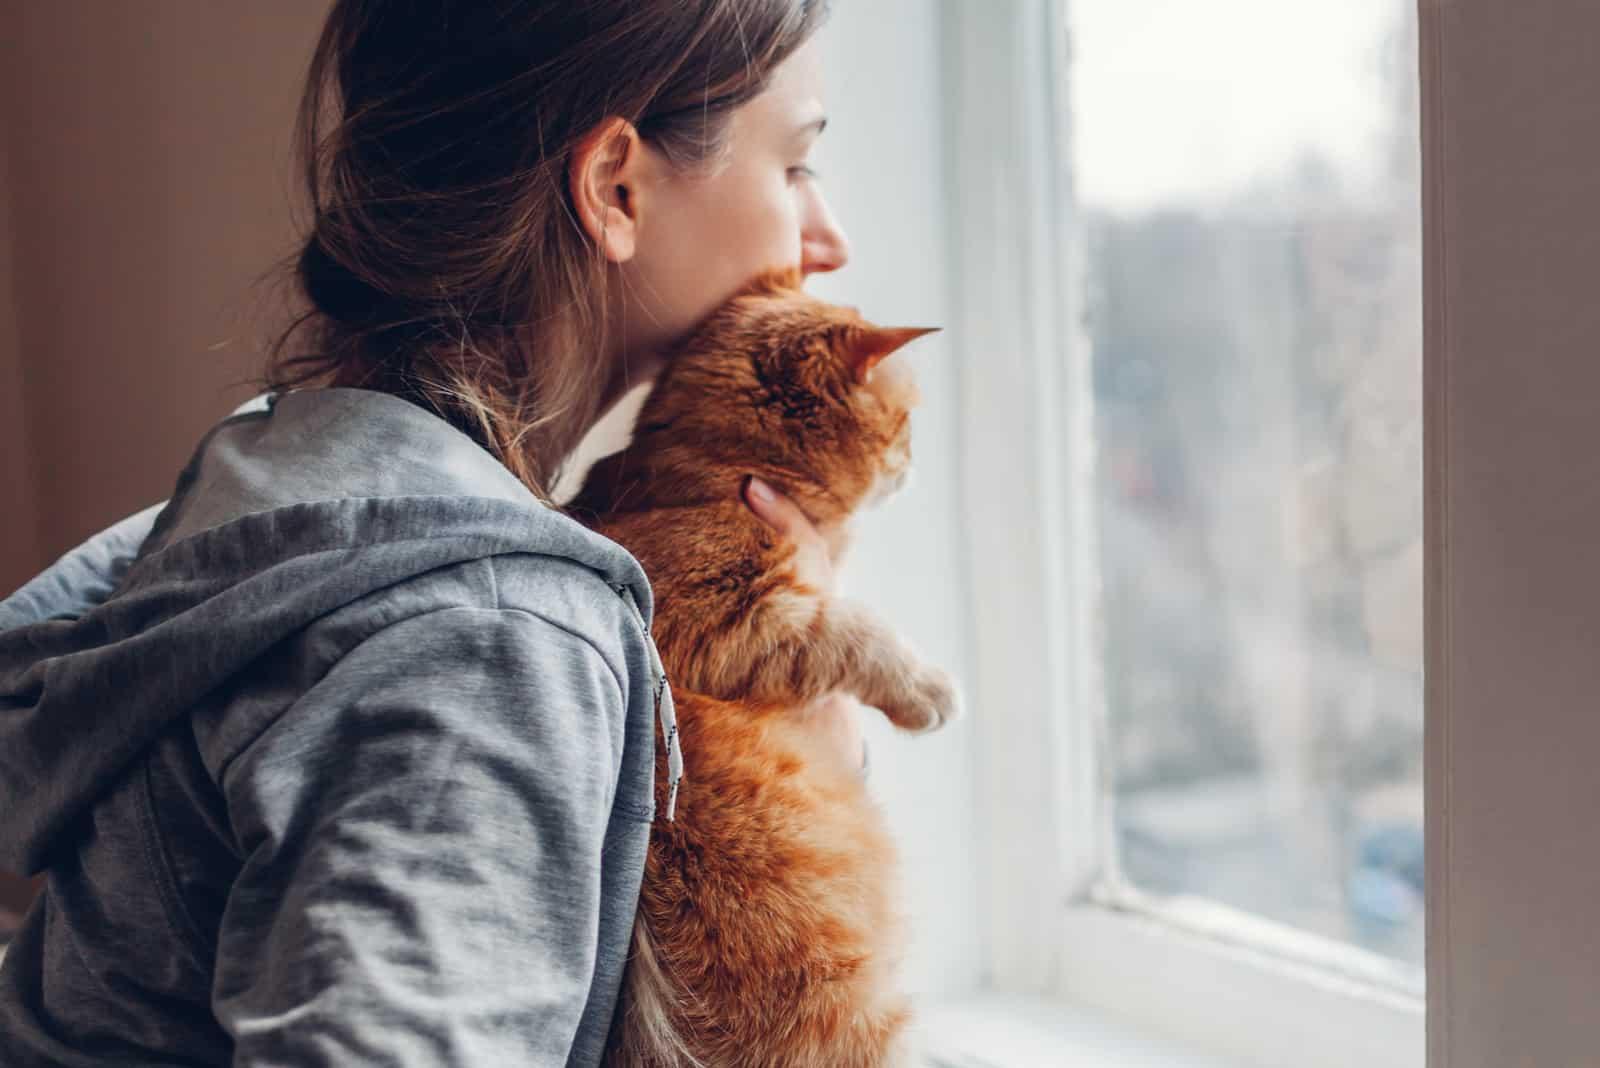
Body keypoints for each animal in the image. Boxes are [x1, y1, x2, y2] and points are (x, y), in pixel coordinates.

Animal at [569, 267, 953, 1068]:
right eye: (905, 423)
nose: (914, 463)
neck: (709, 469)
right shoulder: (721, 622)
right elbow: (855, 631)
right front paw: (927, 689)